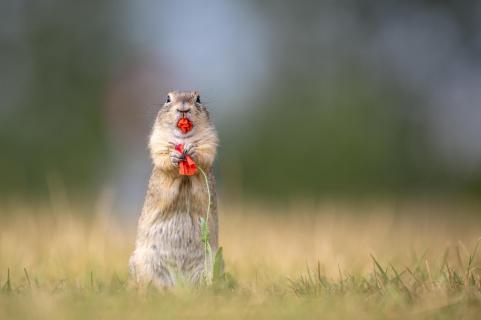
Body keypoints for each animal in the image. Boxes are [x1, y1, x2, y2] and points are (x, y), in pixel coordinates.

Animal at [127, 90, 218, 288]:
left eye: (198, 98)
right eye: (167, 98)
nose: (183, 107)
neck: (182, 139)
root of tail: (179, 285)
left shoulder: (210, 140)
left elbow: (205, 152)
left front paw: (192, 150)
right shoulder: (157, 140)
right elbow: (161, 155)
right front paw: (174, 156)